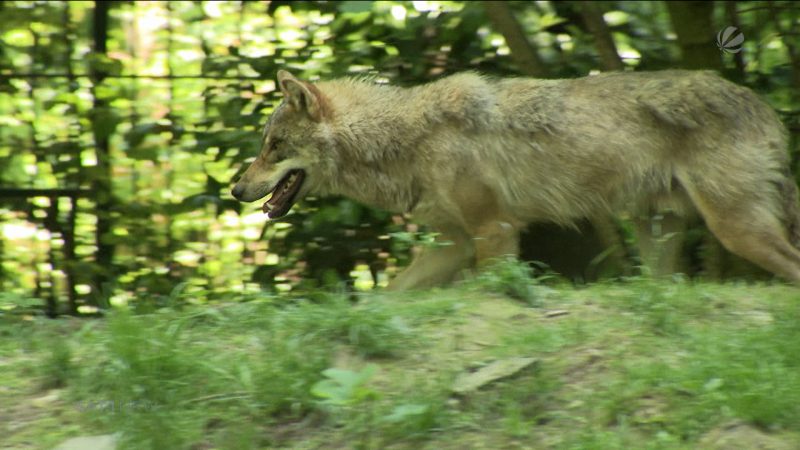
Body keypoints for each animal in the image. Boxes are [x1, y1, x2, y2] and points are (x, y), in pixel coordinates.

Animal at [231, 69, 800, 290]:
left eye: (273, 147)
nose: (236, 189)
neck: (407, 138)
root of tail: (762, 105)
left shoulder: (495, 231)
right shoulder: (451, 245)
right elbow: (385, 298)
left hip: (737, 230)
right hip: (658, 239)